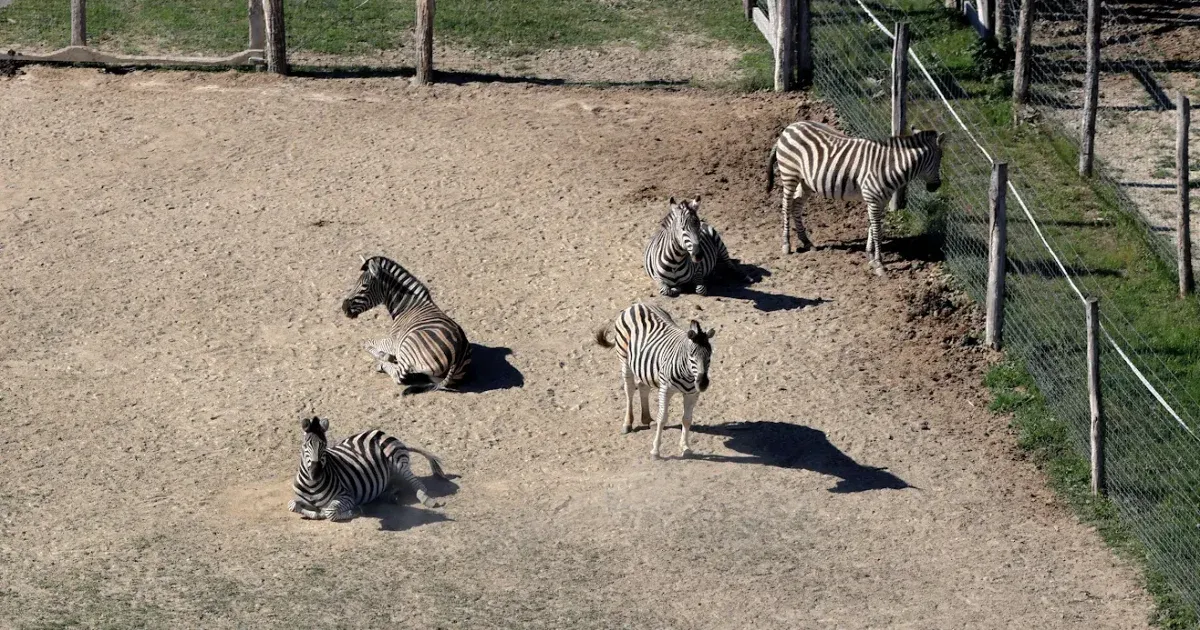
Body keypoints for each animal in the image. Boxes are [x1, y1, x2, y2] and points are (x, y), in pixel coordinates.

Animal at [288, 415, 448, 522]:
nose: (315, 473)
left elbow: (330, 512)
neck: (311, 485)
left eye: (324, 445)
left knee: (418, 483)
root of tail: (379, 432)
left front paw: (354, 511)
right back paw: (390, 495)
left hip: (396, 459)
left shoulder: (347, 496)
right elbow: (293, 505)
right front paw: (315, 512)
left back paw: (427, 499)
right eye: (305, 445)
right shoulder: (299, 499)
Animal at [342, 255, 471, 395]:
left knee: (399, 376)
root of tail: (457, 355)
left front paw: (383, 355)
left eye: (364, 286)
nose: (344, 308)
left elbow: (366, 342)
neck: (407, 307)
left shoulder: (393, 342)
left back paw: (381, 364)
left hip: (408, 345)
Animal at [594, 302, 715, 458]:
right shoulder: (665, 390)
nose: (703, 384)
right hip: (624, 358)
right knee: (629, 390)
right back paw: (627, 424)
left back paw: (647, 419)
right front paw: (655, 451)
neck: (688, 375)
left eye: (709, 356)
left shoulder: (692, 394)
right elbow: (662, 418)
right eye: (691, 357)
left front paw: (685, 447)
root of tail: (637, 304)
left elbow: (687, 419)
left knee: (643, 386)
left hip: (644, 367)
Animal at [766, 120, 945, 273]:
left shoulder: (880, 201)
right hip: (790, 174)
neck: (889, 166)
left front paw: (870, 256)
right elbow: (877, 231)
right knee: (786, 206)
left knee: (796, 205)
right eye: (941, 157)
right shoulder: (873, 199)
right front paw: (879, 264)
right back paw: (786, 245)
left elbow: (873, 227)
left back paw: (806, 242)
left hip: (806, 182)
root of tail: (789, 127)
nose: (936, 187)